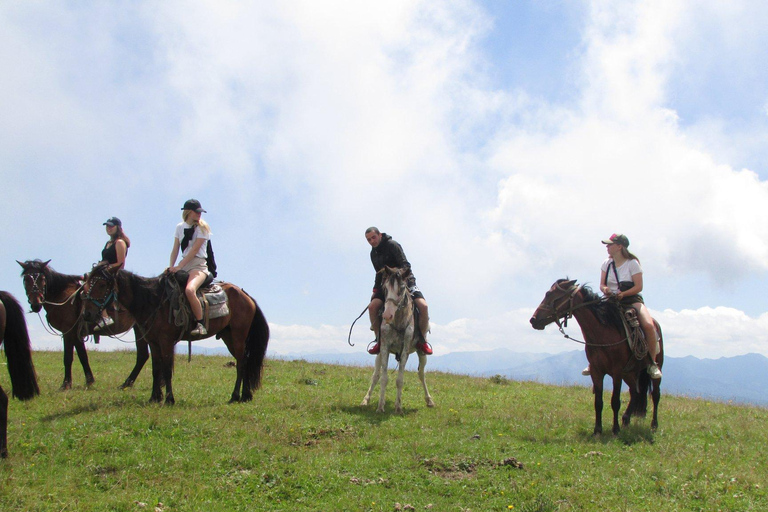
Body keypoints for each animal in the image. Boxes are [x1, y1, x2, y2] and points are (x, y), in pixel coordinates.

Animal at [18, 262, 148, 390]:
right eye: (26, 279)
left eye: (42, 279)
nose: (36, 304)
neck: (62, 294)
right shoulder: (76, 333)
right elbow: (82, 356)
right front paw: (89, 380)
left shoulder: (68, 331)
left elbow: (68, 357)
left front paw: (66, 384)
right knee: (143, 355)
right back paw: (127, 383)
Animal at [81, 264, 270, 404]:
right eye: (87, 284)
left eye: (102, 284)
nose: (87, 314)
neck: (153, 301)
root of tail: (245, 295)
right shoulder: (153, 342)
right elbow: (156, 368)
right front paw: (154, 397)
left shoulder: (166, 341)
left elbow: (166, 368)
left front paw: (169, 399)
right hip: (228, 336)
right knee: (243, 361)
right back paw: (245, 395)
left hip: (238, 336)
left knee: (242, 363)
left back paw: (235, 396)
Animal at [360, 266, 432, 414]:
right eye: (385, 288)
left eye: (402, 287)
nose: (387, 315)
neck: (398, 322)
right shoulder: (385, 348)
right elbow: (383, 378)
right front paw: (380, 407)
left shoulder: (405, 351)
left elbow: (399, 380)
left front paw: (398, 407)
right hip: (379, 354)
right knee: (375, 376)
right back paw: (365, 400)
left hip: (422, 354)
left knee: (421, 374)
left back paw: (429, 400)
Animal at [532, 280, 664, 436]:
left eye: (550, 295)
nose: (533, 320)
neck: (602, 334)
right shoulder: (596, 371)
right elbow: (598, 402)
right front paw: (597, 430)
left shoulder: (617, 372)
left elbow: (615, 401)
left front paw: (615, 429)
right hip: (630, 372)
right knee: (635, 392)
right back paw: (626, 419)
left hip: (653, 368)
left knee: (655, 395)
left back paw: (654, 425)